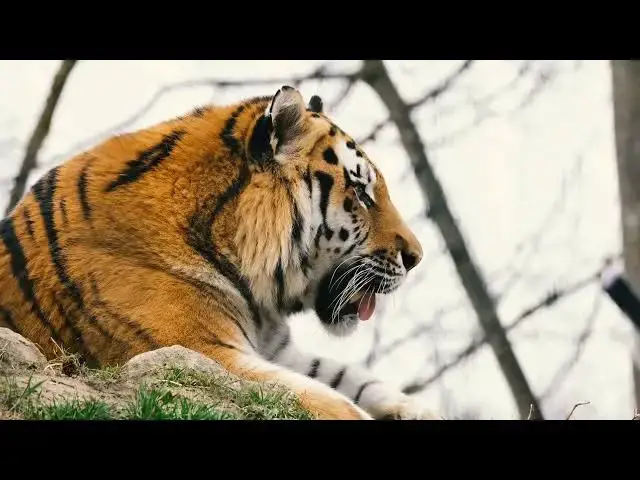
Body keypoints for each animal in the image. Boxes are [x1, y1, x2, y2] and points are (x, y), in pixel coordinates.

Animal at [0, 85, 443, 420]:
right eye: (362, 193)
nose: (417, 257)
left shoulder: (278, 349)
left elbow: (354, 379)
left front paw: (419, 410)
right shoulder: (199, 350)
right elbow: (335, 402)